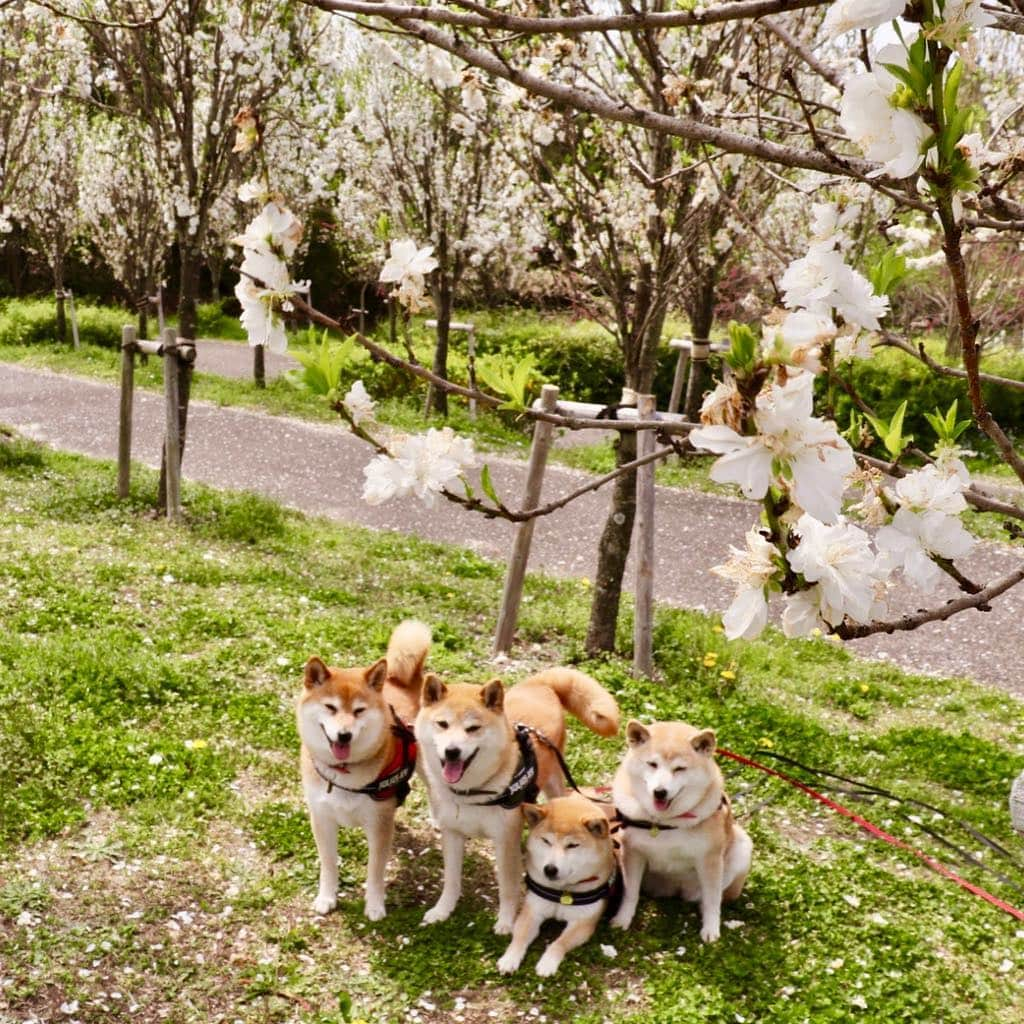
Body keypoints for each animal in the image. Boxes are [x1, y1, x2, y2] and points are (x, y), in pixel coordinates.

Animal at [294, 618, 430, 925]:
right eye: (330, 707)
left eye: (358, 711)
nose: (344, 735)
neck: (344, 774)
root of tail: (402, 679)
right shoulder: (322, 818)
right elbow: (328, 864)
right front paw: (327, 897)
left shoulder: (378, 826)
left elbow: (375, 871)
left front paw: (375, 905)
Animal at [413, 667, 614, 933]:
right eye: (442, 724)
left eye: (473, 728)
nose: (452, 751)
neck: (474, 792)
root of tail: (541, 682)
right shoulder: (452, 834)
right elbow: (451, 880)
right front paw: (442, 910)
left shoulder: (504, 840)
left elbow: (507, 887)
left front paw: (506, 922)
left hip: (554, 785)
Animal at [493, 790, 614, 974]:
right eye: (546, 841)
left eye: (572, 845)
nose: (550, 869)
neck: (562, 892)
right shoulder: (532, 911)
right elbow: (519, 937)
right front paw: (509, 958)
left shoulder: (583, 923)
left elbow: (559, 943)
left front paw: (547, 962)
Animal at [606, 716, 753, 937]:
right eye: (652, 764)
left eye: (680, 769)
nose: (660, 792)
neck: (665, 822)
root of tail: (675, 891)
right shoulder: (632, 853)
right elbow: (631, 893)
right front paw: (623, 919)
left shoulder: (709, 860)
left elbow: (712, 900)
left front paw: (711, 928)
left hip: (742, 847)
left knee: (712, 897)